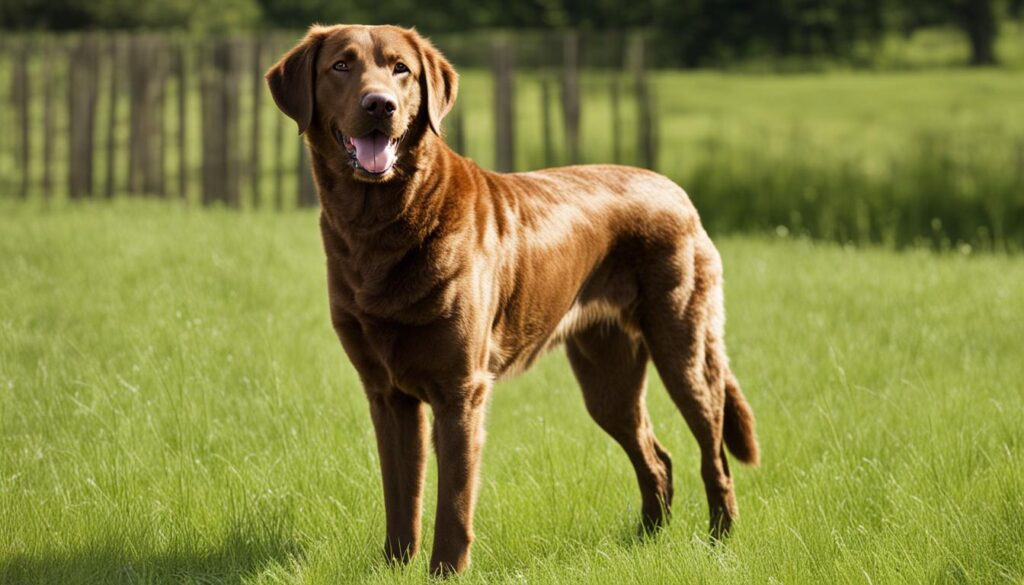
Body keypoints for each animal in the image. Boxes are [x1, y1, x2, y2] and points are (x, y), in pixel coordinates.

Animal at [266, 25, 761, 577]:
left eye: (401, 70)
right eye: (341, 66)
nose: (380, 105)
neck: (378, 227)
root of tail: (678, 190)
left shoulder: (462, 390)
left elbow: (453, 502)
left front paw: (445, 574)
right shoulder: (386, 393)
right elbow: (402, 498)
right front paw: (394, 569)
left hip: (683, 350)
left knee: (713, 455)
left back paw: (719, 545)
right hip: (607, 378)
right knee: (657, 457)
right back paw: (646, 541)